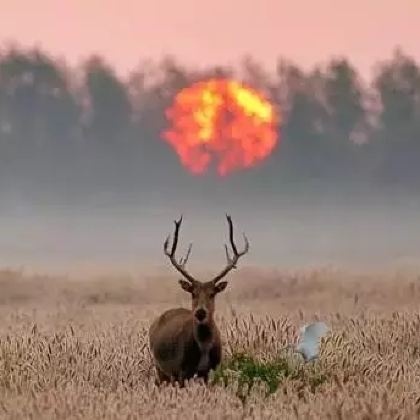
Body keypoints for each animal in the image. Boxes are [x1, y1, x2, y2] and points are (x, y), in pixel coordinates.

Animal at [148, 215, 249, 386]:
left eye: (212, 293)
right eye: (193, 293)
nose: (200, 312)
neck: (203, 348)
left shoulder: (211, 370)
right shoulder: (183, 369)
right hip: (160, 368)